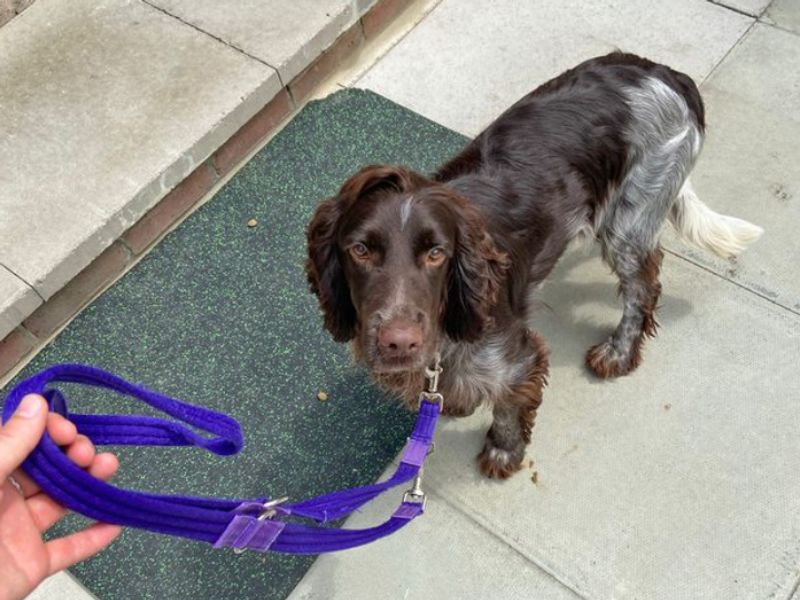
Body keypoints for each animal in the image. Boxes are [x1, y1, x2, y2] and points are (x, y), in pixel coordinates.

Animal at [304, 54, 764, 480]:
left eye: (437, 253)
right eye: (360, 250)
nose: (398, 342)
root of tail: (668, 74)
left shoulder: (516, 356)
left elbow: (508, 404)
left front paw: (503, 452)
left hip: (628, 221)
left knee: (642, 289)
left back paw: (618, 352)